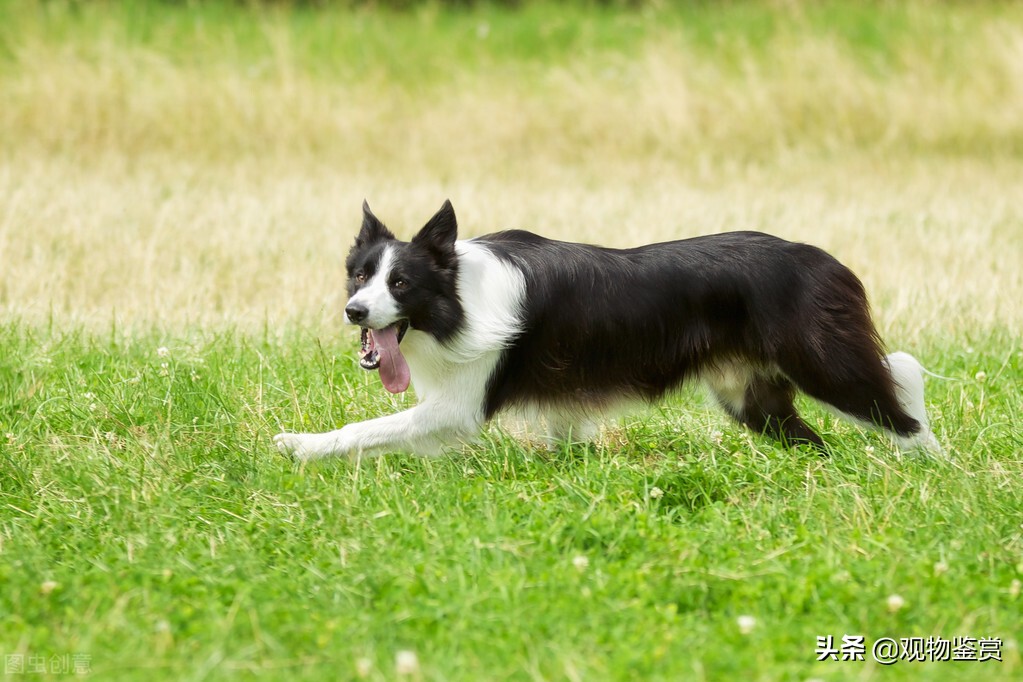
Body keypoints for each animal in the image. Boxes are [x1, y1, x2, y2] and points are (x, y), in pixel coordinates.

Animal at [274, 200, 941, 462]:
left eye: (402, 283)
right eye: (360, 276)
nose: (354, 312)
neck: (455, 298)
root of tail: (829, 263)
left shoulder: (457, 408)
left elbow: (365, 428)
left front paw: (300, 445)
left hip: (826, 364)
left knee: (901, 406)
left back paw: (932, 468)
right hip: (752, 399)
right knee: (820, 438)